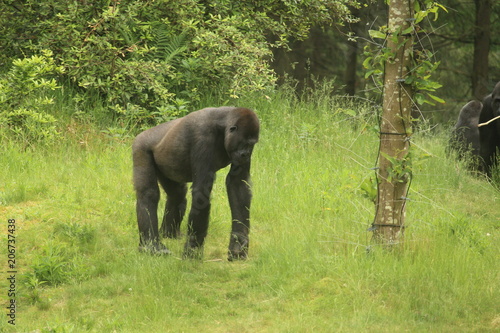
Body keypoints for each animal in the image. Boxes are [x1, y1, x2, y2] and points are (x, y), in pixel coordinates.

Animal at [131, 106, 260, 260]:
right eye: (244, 143)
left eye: (251, 145)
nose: (246, 154)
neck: (222, 126)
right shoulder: (203, 138)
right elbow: (201, 193)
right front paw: (193, 251)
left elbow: (238, 185)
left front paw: (238, 243)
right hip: (140, 146)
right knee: (148, 194)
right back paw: (151, 246)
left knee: (177, 195)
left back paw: (169, 233)